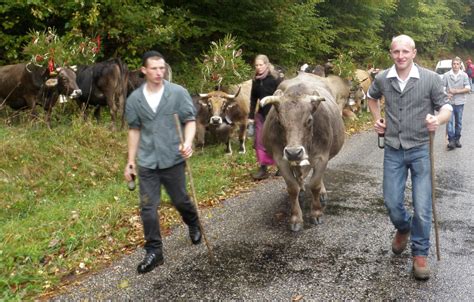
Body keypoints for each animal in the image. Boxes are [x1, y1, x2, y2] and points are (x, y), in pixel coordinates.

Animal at [262, 72, 344, 231]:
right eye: (280, 122)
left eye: (309, 120)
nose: (294, 152)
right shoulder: (281, 159)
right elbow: (292, 188)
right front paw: (296, 218)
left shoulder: (322, 157)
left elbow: (315, 184)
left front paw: (316, 213)